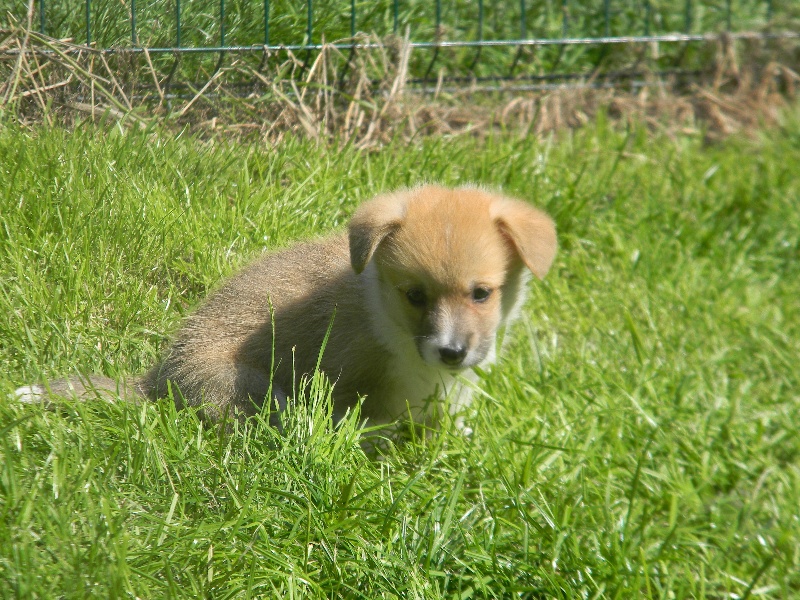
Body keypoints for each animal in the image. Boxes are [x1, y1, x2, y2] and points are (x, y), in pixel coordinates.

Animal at [15, 185, 557, 430]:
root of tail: (159, 381)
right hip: (256, 391)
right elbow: (358, 423)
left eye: (482, 293)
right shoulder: (342, 378)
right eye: (415, 295)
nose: (451, 353)